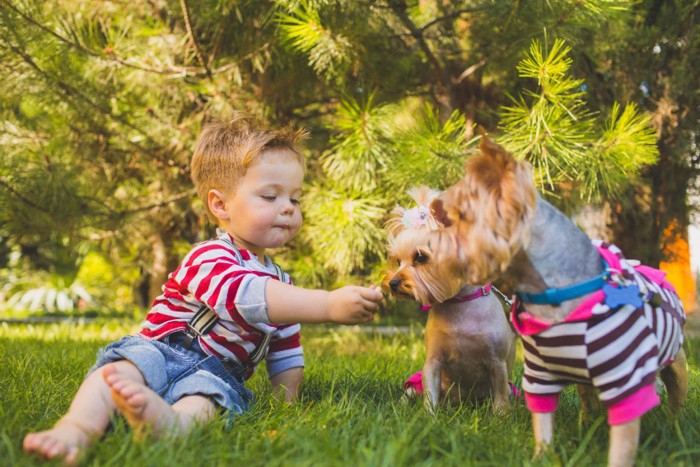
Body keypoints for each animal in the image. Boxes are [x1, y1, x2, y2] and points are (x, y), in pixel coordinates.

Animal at [430, 139, 688, 467]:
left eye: (458, 217)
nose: (433, 209)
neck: (549, 297)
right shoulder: (539, 377)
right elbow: (543, 426)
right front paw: (542, 456)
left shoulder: (625, 382)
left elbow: (622, 446)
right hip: (584, 382)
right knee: (587, 402)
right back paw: (586, 424)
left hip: (676, 364)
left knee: (677, 398)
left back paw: (676, 427)